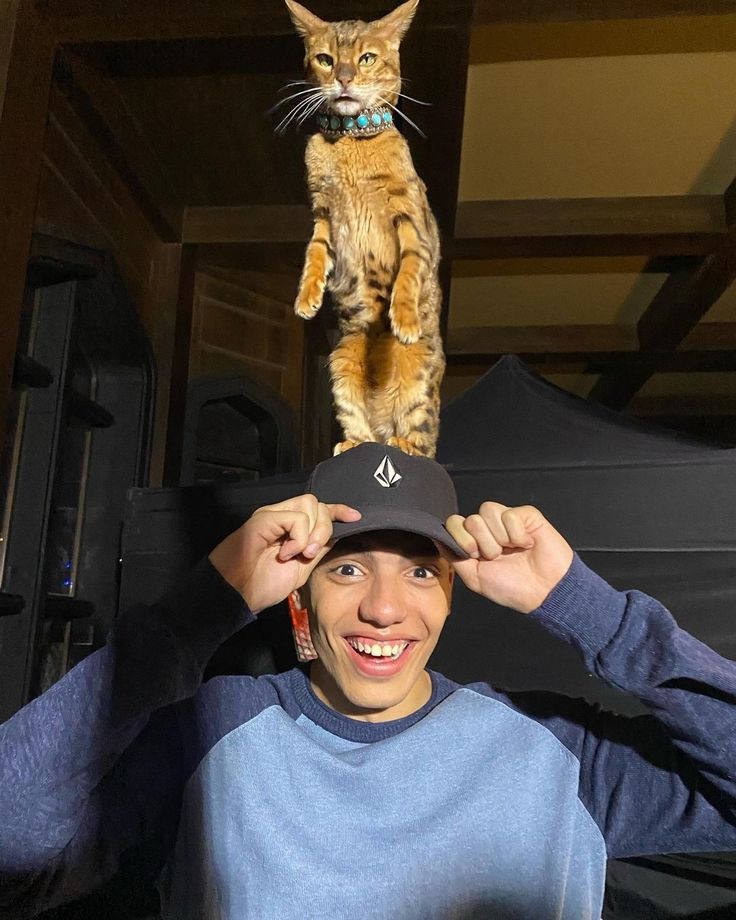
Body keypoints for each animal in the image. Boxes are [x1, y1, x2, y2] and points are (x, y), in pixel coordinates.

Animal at [284, 0, 442, 458]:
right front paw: (306, 297)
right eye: (325, 59)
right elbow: (314, 254)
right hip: (341, 360)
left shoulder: (409, 217)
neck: (352, 141)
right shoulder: (323, 213)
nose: (344, 78)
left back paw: (405, 444)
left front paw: (403, 317)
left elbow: (410, 269)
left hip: (421, 375)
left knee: (422, 438)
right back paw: (353, 444)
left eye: (367, 58)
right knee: (366, 432)